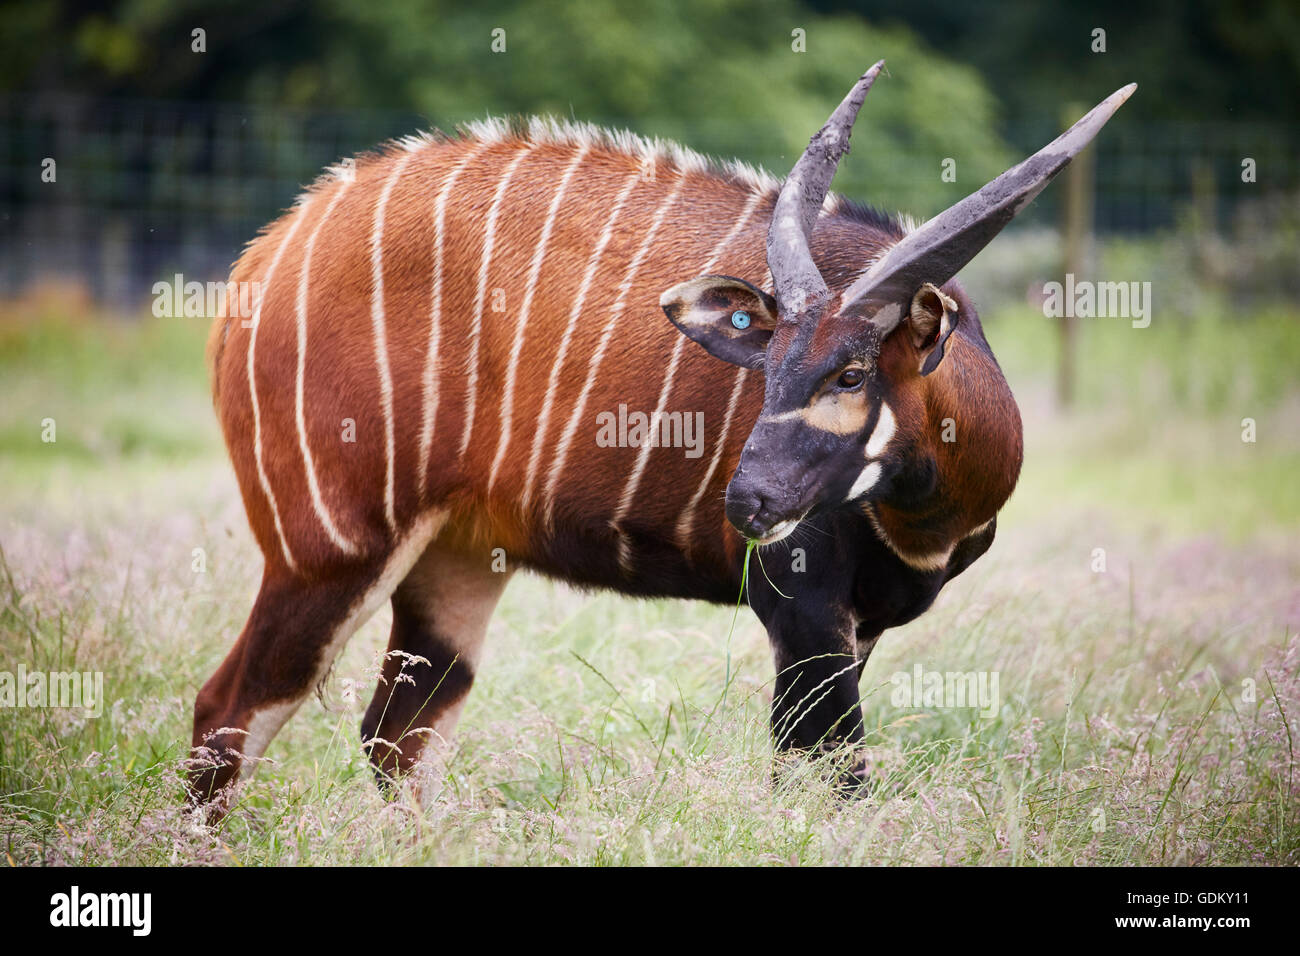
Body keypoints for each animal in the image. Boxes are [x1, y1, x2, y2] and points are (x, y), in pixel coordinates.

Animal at [188, 59, 1133, 806]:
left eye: (852, 373)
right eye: (767, 364)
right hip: (331, 549)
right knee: (229, 711)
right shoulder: (802, 610)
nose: (748, 501)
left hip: (453, 563)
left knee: (397, 738)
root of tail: (272, 249)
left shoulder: (855, 628)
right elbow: (829, 781)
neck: (927, 518)